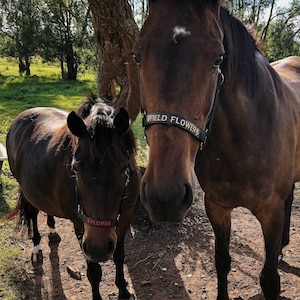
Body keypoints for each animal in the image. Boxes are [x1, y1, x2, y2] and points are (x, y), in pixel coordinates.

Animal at [4, 96, 138, 300]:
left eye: (124, 168)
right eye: (75, 168)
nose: (98, 248)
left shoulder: (125, 217)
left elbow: (119, 256)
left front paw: (123, 290)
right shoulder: (80, 225)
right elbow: (94, 272)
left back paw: (52, 231)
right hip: (27, 192)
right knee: (33, 214)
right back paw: (36, 249)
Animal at [132, 0, 300, 300]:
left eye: (218, 59)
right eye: (137, 56)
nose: (165, 197)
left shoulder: (271, 215)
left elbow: (269, 280)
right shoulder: (217, 207)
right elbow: (222, 261)